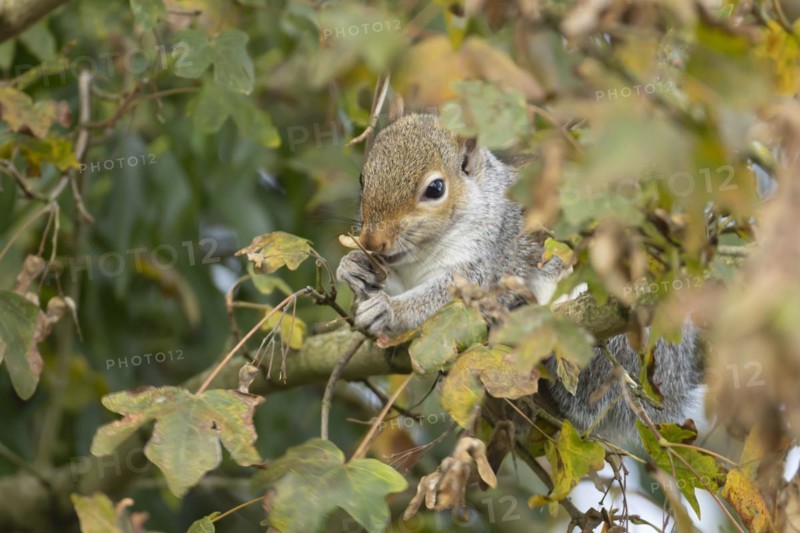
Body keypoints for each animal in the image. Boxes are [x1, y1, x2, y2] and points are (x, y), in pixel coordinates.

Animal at [336, 113, 705, 443]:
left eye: (435, 188)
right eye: (362, 178)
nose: (372, 241)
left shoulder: (488, 264)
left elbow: (444, 302)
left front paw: (387, 309)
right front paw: (352, 267)